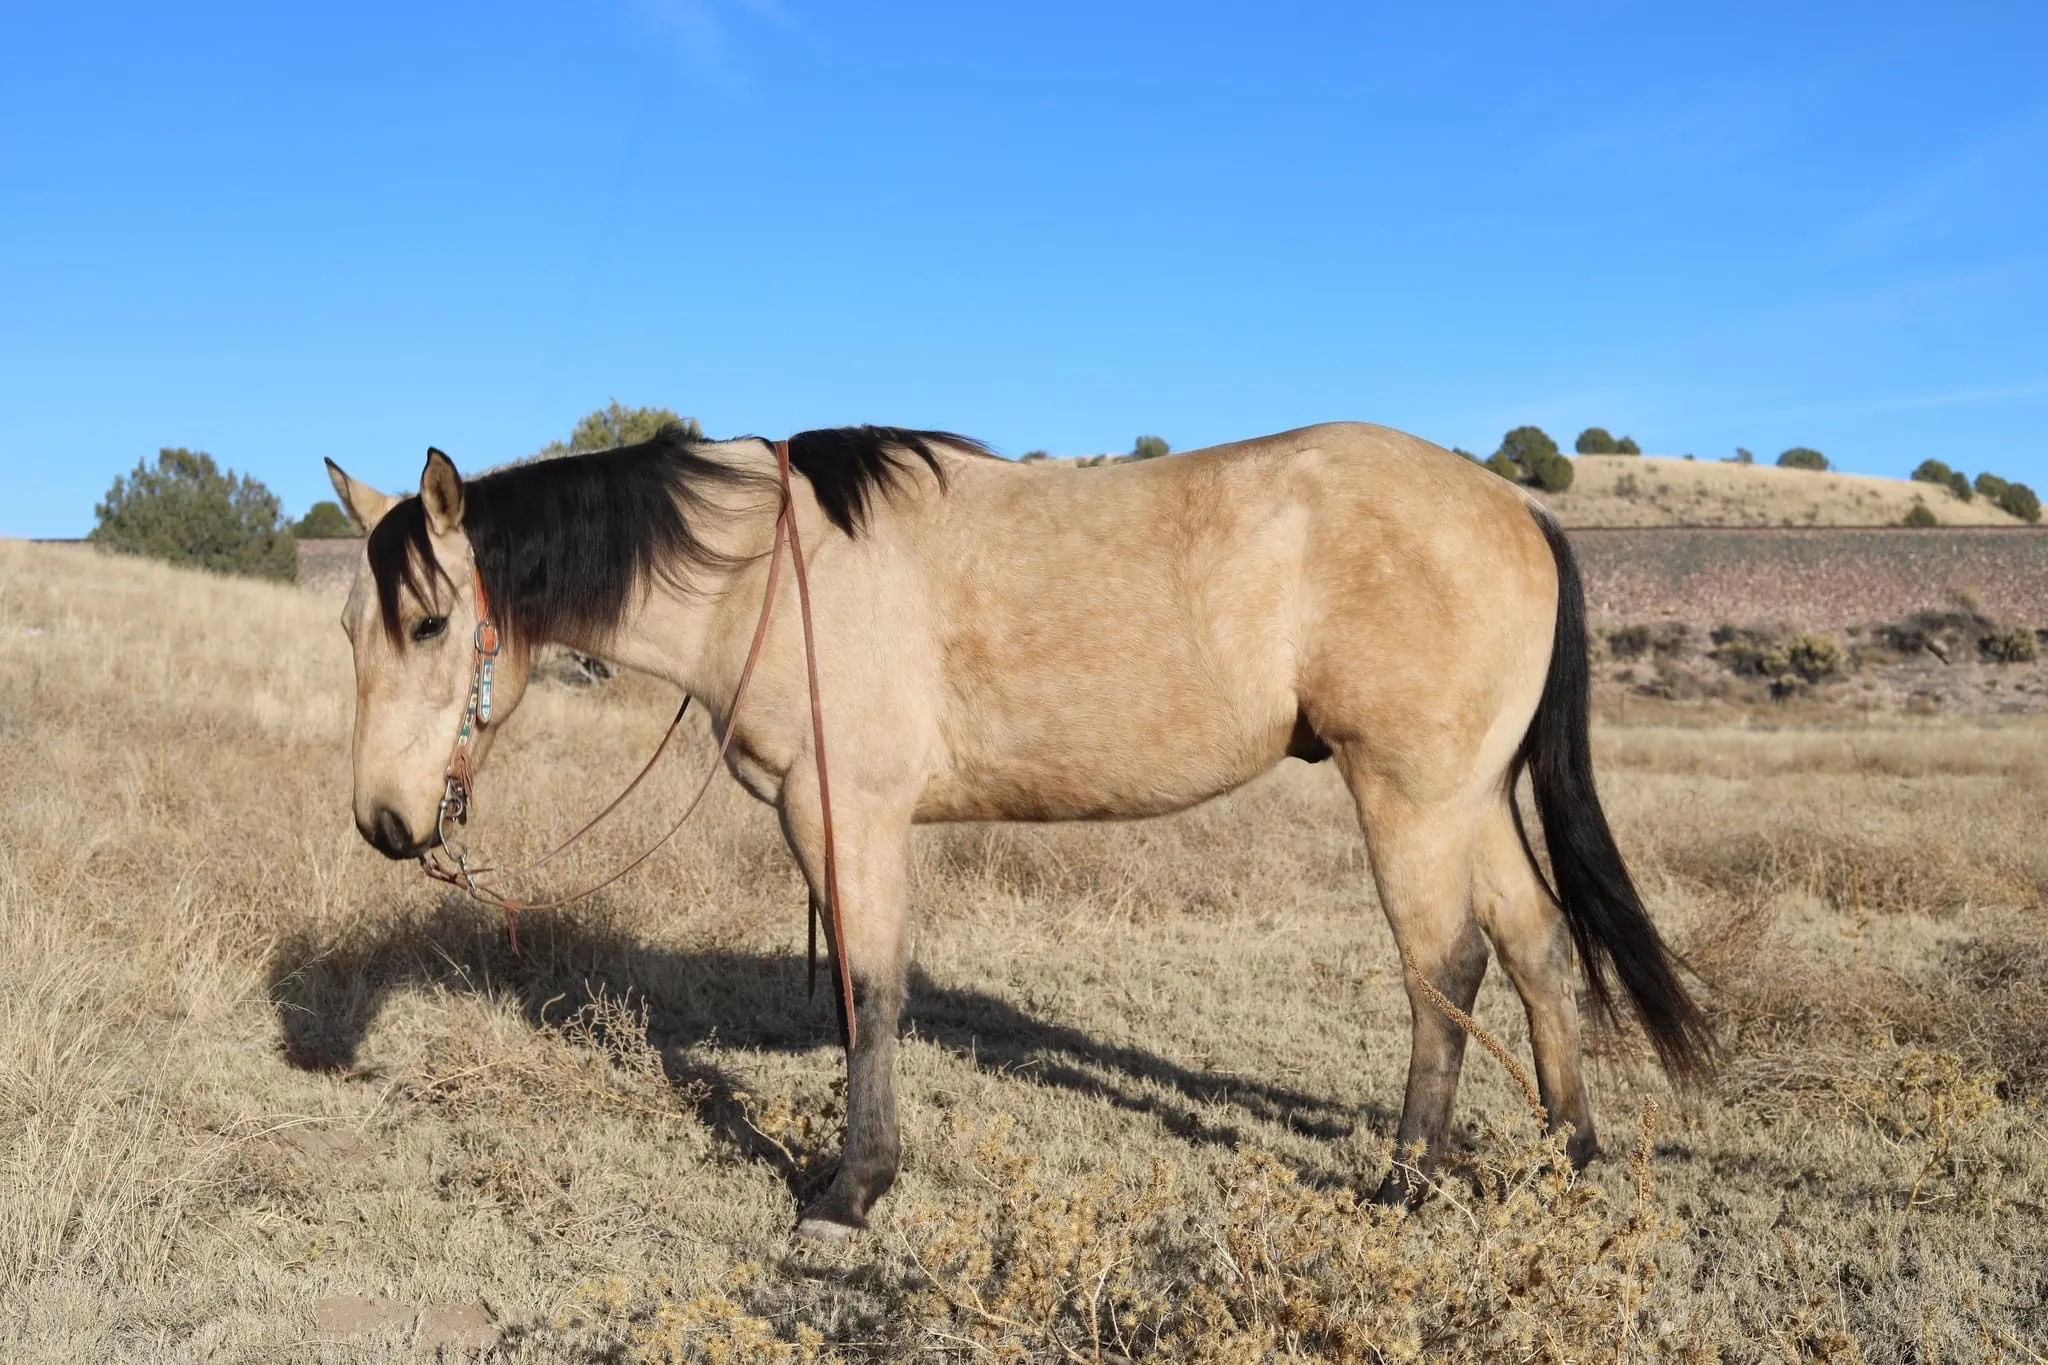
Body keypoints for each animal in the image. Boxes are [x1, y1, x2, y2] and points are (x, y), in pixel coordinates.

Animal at [322, 421, 1709, 1240]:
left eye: (433, 622)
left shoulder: (847, 814)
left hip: (1411, 797)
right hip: (1469, 796)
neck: (763, 572)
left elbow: (872, 990)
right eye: (352, 628)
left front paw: (850, 1191)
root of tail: (1516, 510)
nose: (385, 822)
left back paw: (1405, 1180)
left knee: (1444, 969)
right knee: (1532, 946)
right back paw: (1566, 1151)